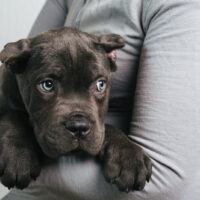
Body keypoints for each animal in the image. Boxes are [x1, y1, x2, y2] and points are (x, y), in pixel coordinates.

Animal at [0, 27, 152, 193]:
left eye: (100, 85)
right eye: (47, 85)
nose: (79, 127)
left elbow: (107, 127)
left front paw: (128, 155)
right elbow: (12, 116)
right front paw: (18, 156)